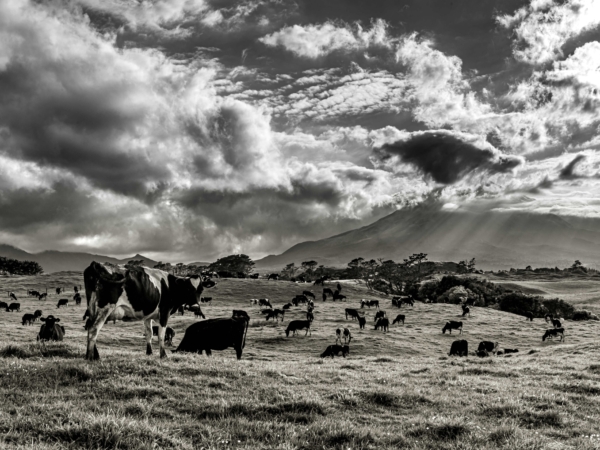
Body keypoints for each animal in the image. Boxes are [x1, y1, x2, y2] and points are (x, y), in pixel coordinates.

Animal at [83, 262, 217, 360]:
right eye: (188, 289)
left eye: (201, 289)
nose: (195, 307)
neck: (170, 286)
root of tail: (96, 265)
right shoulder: (164, 312)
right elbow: (161, 335)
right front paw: (163, 355)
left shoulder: (147, 316)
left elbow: (149, 334)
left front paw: (149, 352)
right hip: (105, 308)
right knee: (94, 329)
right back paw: (90, 357)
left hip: (92, 309)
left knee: (89, 327)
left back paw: (94, 355)